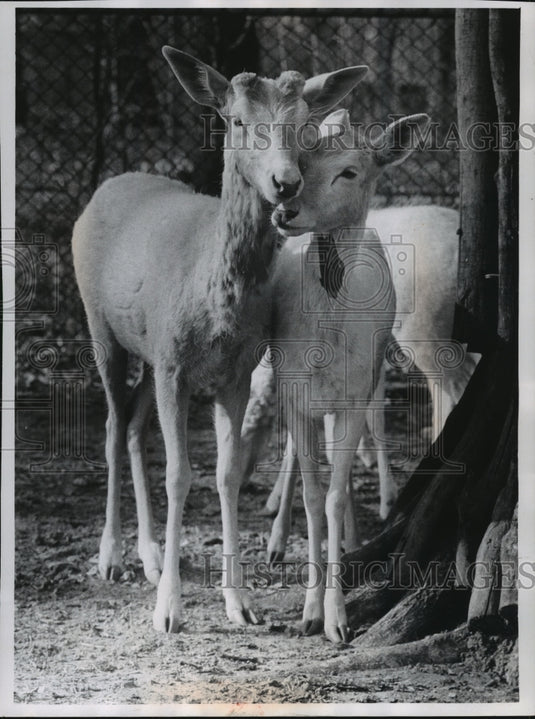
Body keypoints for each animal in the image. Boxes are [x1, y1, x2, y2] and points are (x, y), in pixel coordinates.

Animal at [72, 46, 368, 634]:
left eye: (304, 126)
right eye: (235, 121)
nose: (285, 183)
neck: (215, 301)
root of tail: (106, 187)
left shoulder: (233, 370)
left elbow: (227, 475)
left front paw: (240, 602)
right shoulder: (175, 367)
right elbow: (180, 474)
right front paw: (169, 610)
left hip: (148, 353)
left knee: (134, 426)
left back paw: (149, 554)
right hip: (102, 329)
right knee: (113, 426)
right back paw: (111, 556)